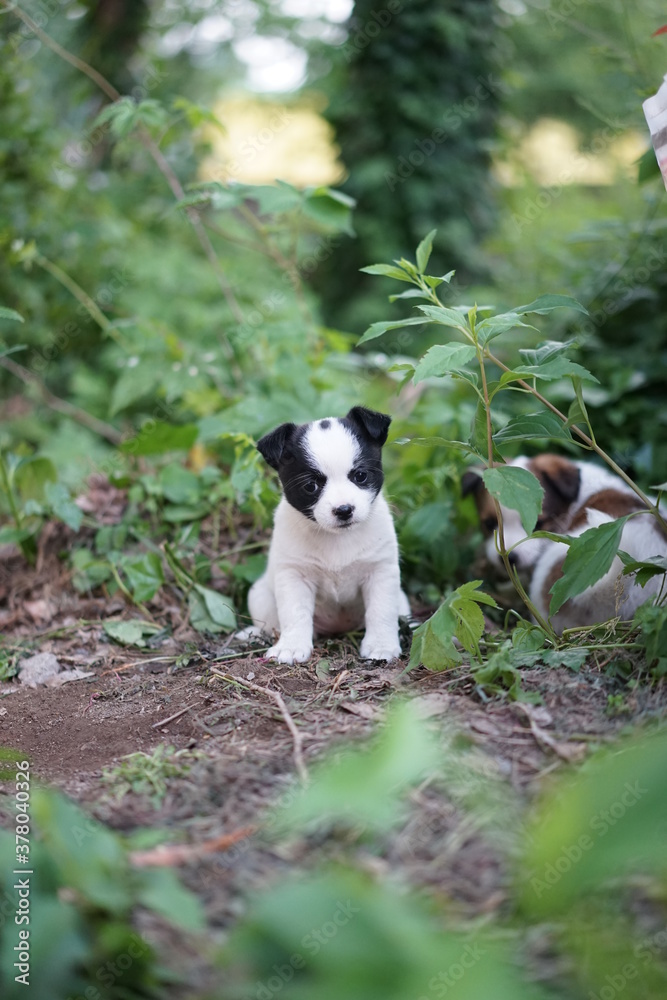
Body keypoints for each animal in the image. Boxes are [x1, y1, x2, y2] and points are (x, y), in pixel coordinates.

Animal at [247, 406, 410, 664]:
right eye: (311, 486)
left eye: (360, 476)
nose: (343, 510)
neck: (337, 540)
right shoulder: (294, 576)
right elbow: (294, 613)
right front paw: (291, 647)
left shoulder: (380, 572)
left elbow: (381, 611)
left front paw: (381, 646)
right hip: (259, 596)